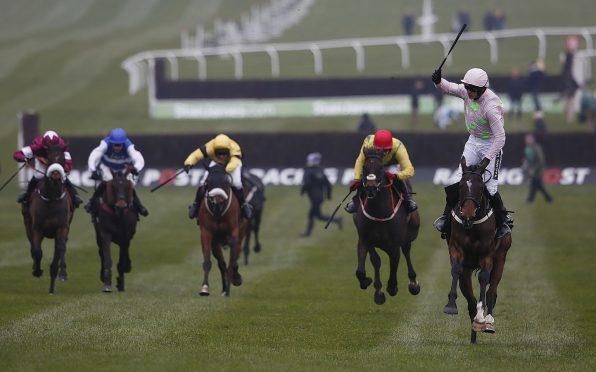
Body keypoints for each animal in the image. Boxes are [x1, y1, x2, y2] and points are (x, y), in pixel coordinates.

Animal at [21, 144, 74, 292]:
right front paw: (37, 271)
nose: (56, 174)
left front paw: (53, 283)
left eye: (63, 159)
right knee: (33, 246)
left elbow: (59, 251)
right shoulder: (36, 227)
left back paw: (63, 273)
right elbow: (37, 251)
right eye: (49, 158)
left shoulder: (61, 228)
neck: (51, 198)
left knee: (62, 247)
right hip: (27, 224)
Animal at [196, 163, 242, 296]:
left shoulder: (234, 230)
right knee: (221, 264)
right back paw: (224, 288)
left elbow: (234, 258)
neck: (218, 212)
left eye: (226, 182)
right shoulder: (206, 233)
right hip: (215, 244)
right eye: (207, 182)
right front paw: (204, 288)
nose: (217, 201)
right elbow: (207, 261)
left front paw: (236, 279)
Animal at [352, 148, 422, 306]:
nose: (371, 188)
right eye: (364, 168)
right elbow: (371, 263)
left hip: (410, 232)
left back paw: (413, 283)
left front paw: (392, 286)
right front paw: (373, 287)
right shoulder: (365, 239)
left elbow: (394, 261)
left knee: (406, 251)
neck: (379, 212)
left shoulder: (394, 243)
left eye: (381, 168)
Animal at [444, 156, 516, 342]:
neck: (472, 226)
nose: (467, 216)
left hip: (501, 257)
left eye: (481, 188)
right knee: (470, 299)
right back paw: (474, 333)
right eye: (460, 186)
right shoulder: (456, 248)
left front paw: (481, 317)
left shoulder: (487, 254)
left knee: (492, 291)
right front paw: (450, 305)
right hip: (468, 270)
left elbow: (484, 278)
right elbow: (456, 269)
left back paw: (487, 321)